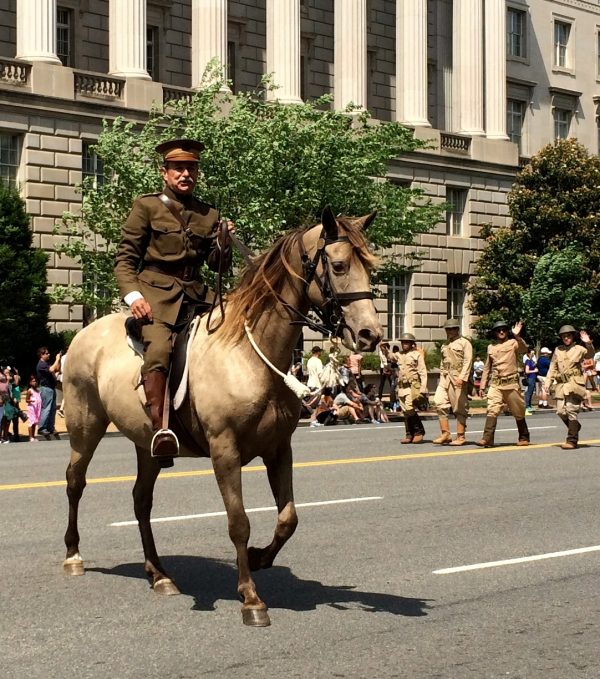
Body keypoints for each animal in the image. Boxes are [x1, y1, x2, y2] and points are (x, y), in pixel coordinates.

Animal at [62, 207, 384, 628]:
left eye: (371, 267)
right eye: (340, 264)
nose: (370, 334)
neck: (250, 351)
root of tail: (86, 333)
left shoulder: (278, 449)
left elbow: (288, 518)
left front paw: (261, 558)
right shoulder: (224, 450)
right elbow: (239, 522)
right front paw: (250, 597)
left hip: (147, 445)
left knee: (141, 500)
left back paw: (159, 573)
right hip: (85, 427)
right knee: (75, 483)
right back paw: (74, 555)